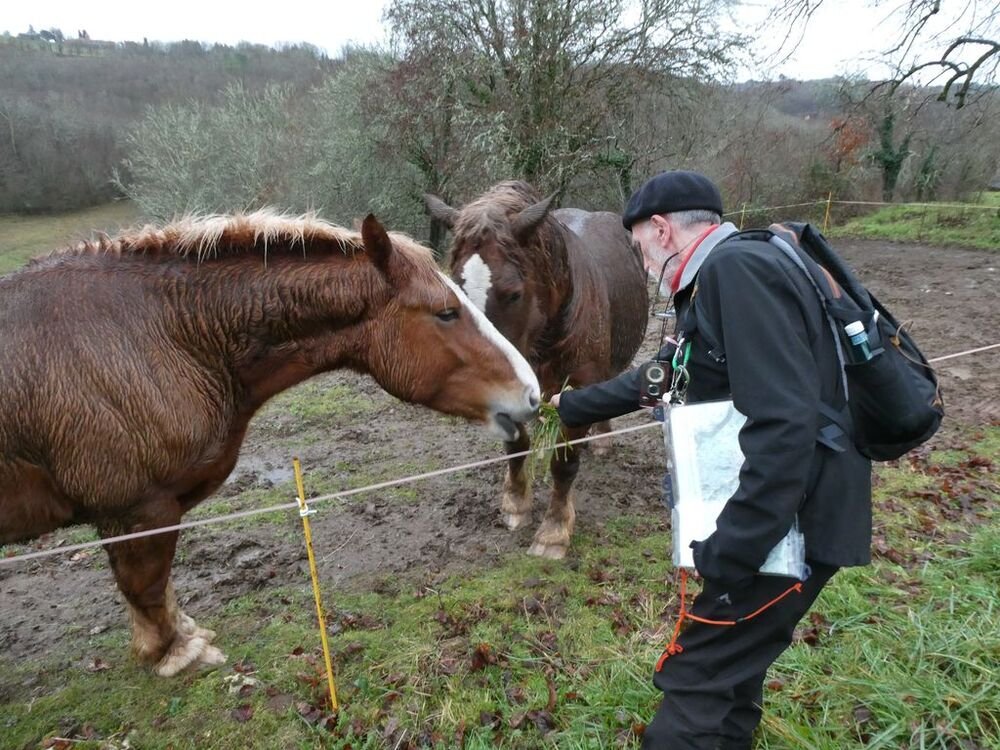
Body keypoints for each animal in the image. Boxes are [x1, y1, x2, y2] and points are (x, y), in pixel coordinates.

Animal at [0, 210, 539, 676]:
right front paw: (177, 653)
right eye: (446, 313)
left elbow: (157, 588)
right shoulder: (135, 510)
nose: (532, 393)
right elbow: (148, 587)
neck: (165, 335)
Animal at [425, 181, 648, 559]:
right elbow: (517, 446)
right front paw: (516, 503)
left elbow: (564, 462)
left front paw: (554, 531)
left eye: (513, 294)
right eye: (455, 291)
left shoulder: (576, 389)